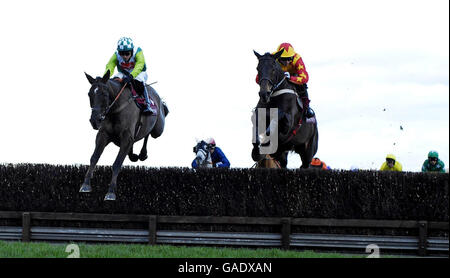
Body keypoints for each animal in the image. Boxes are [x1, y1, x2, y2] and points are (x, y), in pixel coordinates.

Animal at [79, 69, 169, 200]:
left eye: (104, 94)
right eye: (89, 94)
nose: (94, 120)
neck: (116, 109)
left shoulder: (126, 137)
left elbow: (117, 163)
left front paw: (111, 192)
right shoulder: (103, 134)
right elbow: (94, 157)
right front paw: (85, 184)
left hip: (158, 129)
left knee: (149, 133)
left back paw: (143, 153)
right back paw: (133, 154)